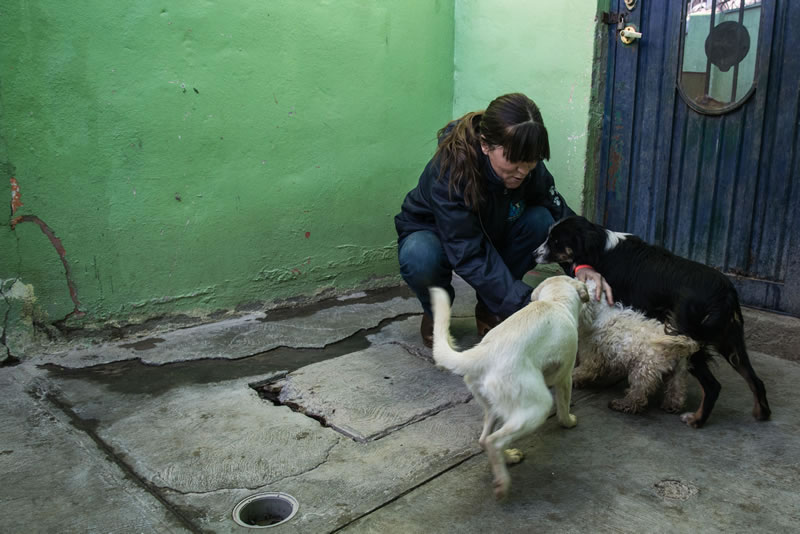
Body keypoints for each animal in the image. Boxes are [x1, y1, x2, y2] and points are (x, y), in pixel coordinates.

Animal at [429, 275, 589, 499]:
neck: (555, 300)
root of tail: (482, 353)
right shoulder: (565, 377)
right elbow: (564, 406)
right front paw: (568, 421)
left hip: (494, 406)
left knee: (484, 439)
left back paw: (509, 458)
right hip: (536, 407)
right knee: (493, 441)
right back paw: (502, 482)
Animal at [576, 279, 700, 415]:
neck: (599, 312)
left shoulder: (591, 358)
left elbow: (583, 370)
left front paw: (573, 378)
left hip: (642, 370)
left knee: (638, 396)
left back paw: (623, 404)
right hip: (678, 371)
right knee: (677, 389)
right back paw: (672, 405)